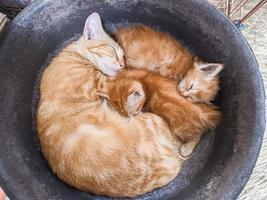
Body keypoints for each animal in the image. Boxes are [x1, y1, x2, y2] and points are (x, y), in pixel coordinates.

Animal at [36, 12, 185, 198]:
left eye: (123, 57)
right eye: (113, 50)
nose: (122, 65)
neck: (74, 55)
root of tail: (173, 165)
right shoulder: (99, 83)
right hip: (154, 120)